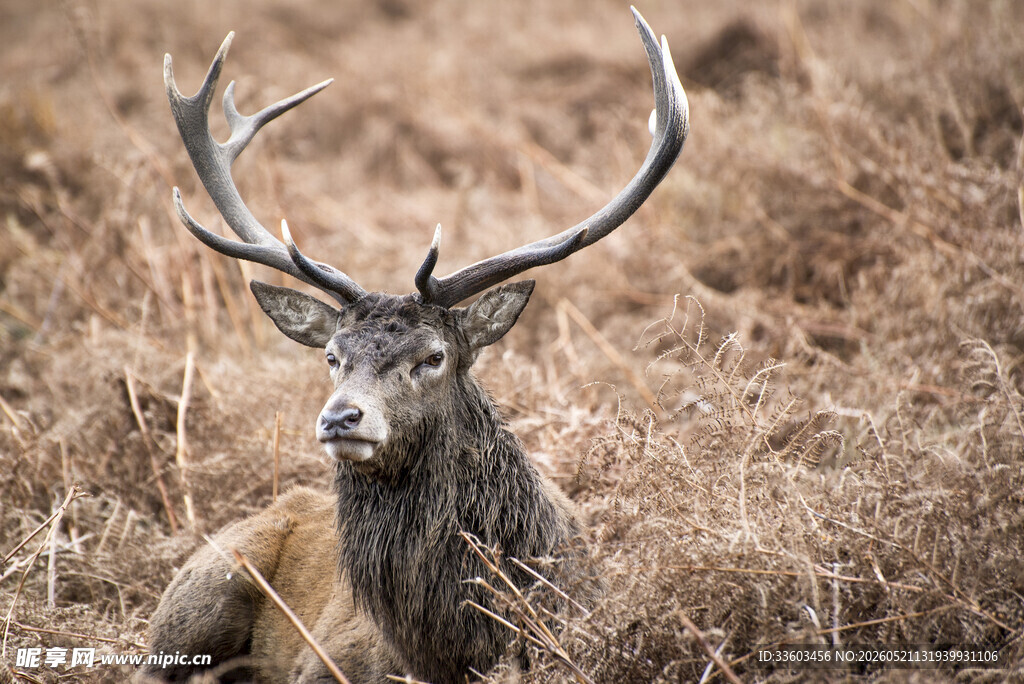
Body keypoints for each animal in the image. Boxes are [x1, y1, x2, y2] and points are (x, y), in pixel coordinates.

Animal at [142, 8, 687, 683]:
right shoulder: (323, 661)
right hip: (199, 594)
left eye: (433, 357)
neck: (448, 652)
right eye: (332, 356)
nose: (341, 417)